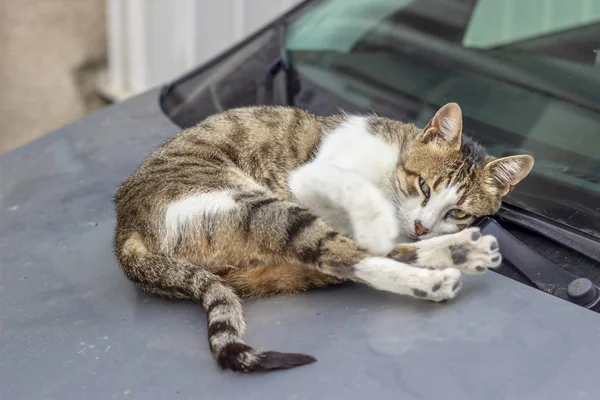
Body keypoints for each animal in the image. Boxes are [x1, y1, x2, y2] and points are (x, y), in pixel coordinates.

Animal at [113, 101, 536, 374]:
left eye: (458, 213)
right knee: (344, 255)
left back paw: (460, 251)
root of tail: (125, 228)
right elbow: (357, 193)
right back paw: (433, 280)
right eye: (423, 186)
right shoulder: (310, 177)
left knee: (350, 254)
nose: (422, 227)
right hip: (254, 205)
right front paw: (380, 220)